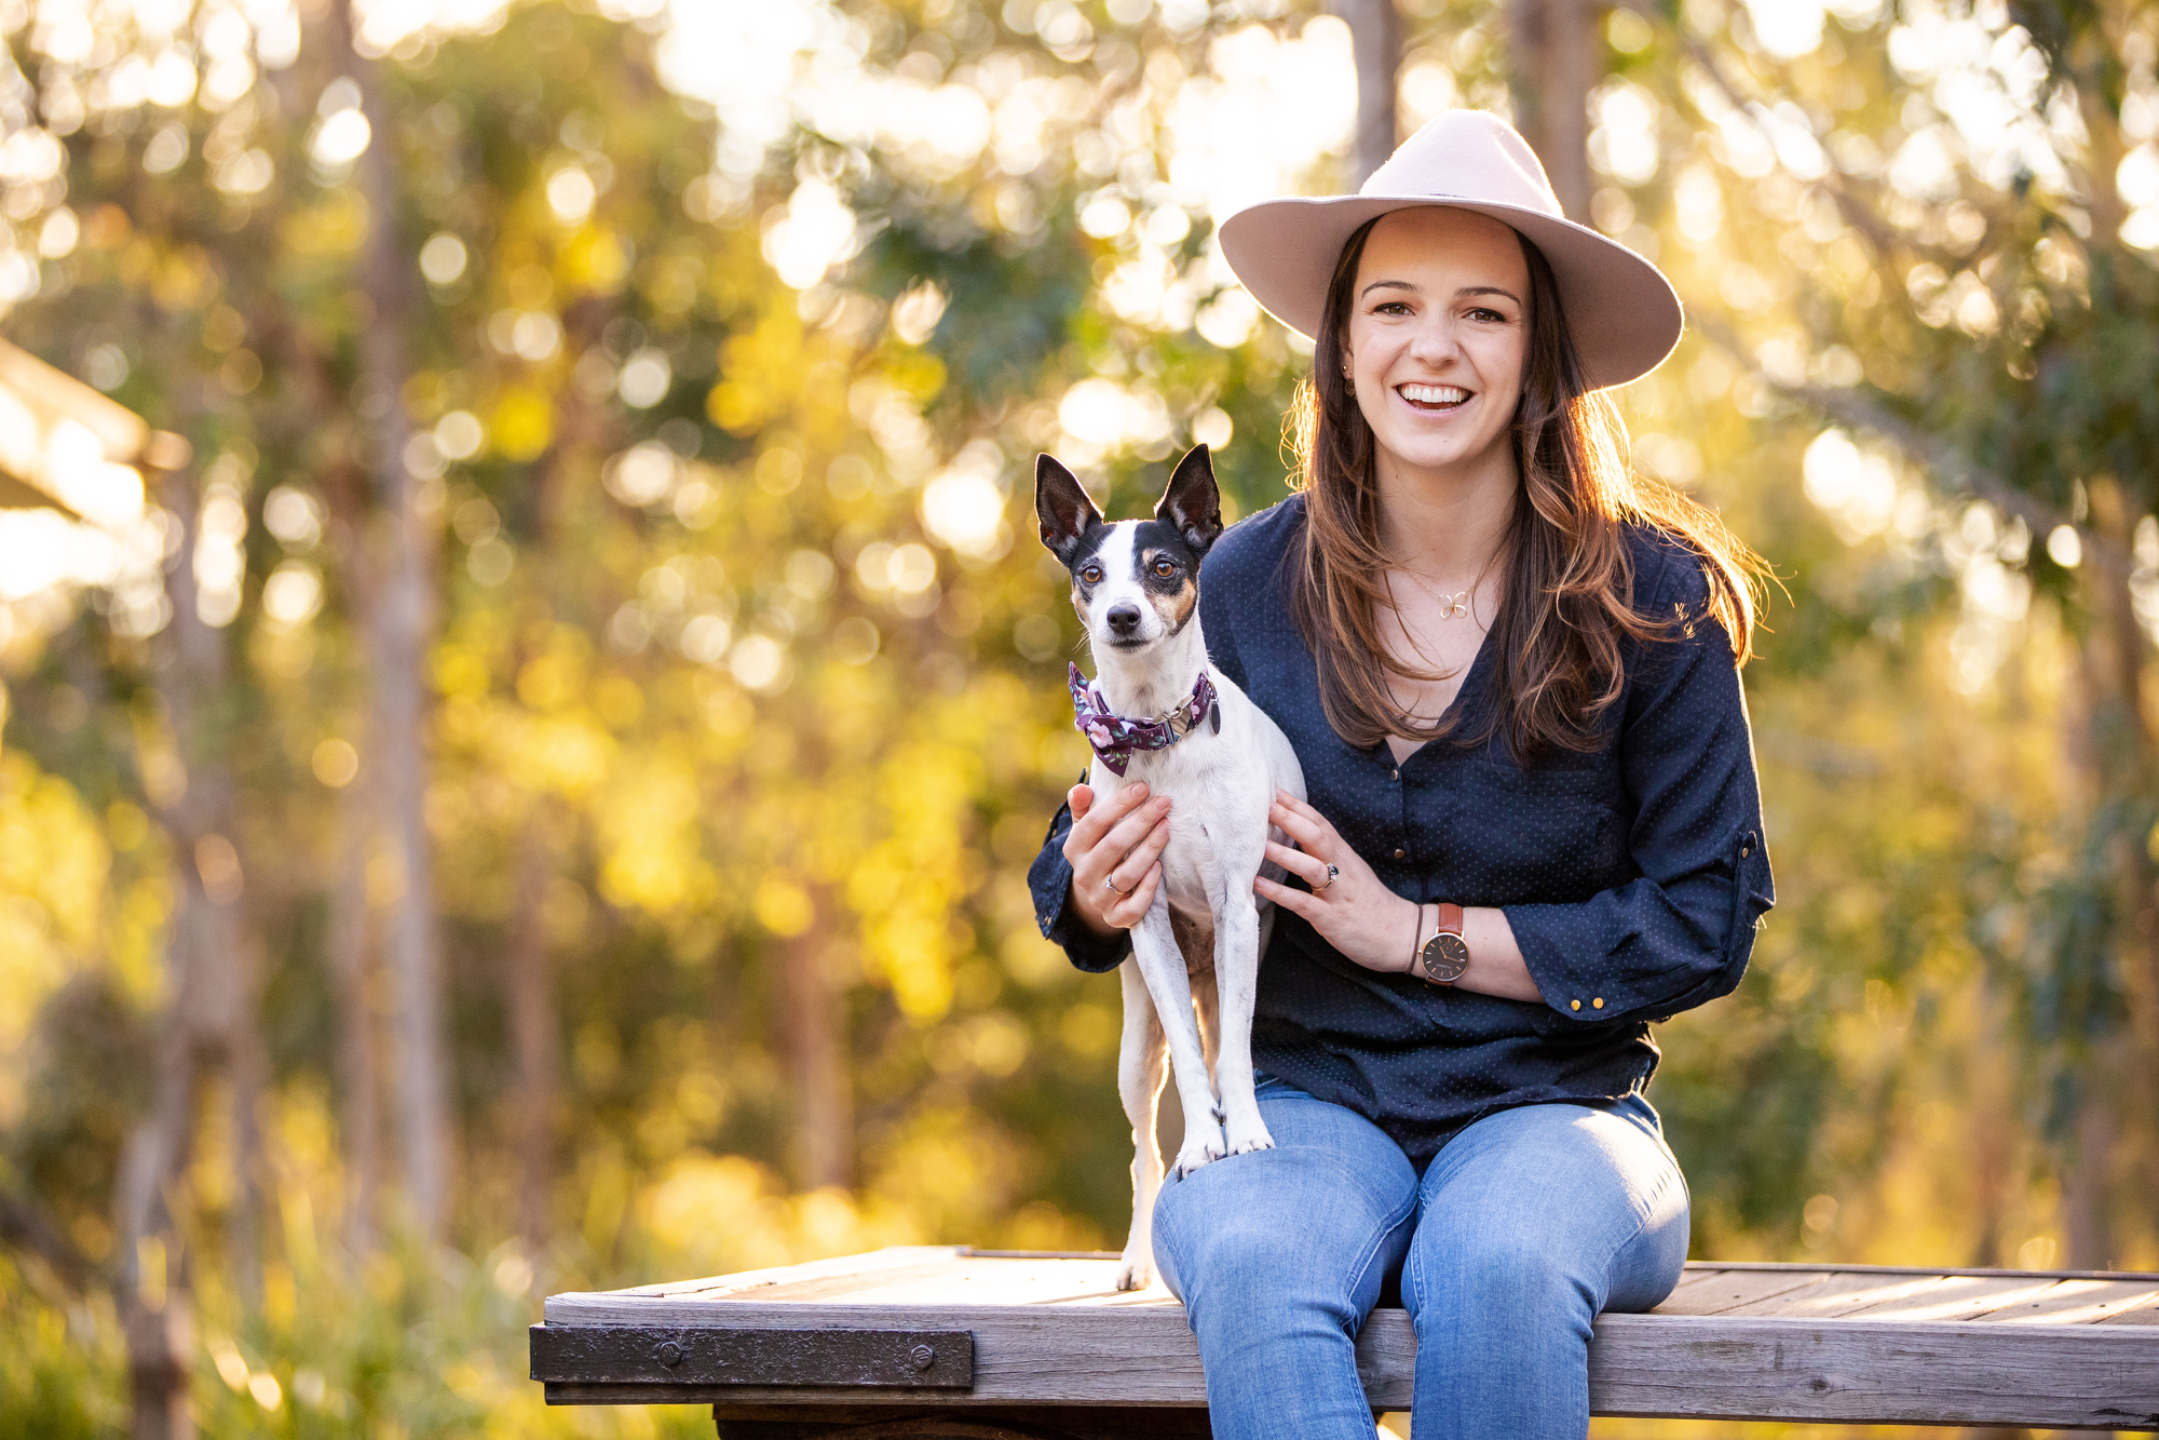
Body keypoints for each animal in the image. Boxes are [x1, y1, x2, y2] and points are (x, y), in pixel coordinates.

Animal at [1036, 442, 1307, 1292]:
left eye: (1161, 566)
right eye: (1091, 573)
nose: (1121, 616)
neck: (1157, 730)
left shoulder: (1237, 911)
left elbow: (1235, 1064)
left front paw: (1244, 1133)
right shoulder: (1146, 917)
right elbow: (1191, 1080)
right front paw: (1203, 1149)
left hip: (1216, 978)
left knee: (1222, 1053)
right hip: (1138, 1046)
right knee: (1142, 1149)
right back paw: (1135, 1256)